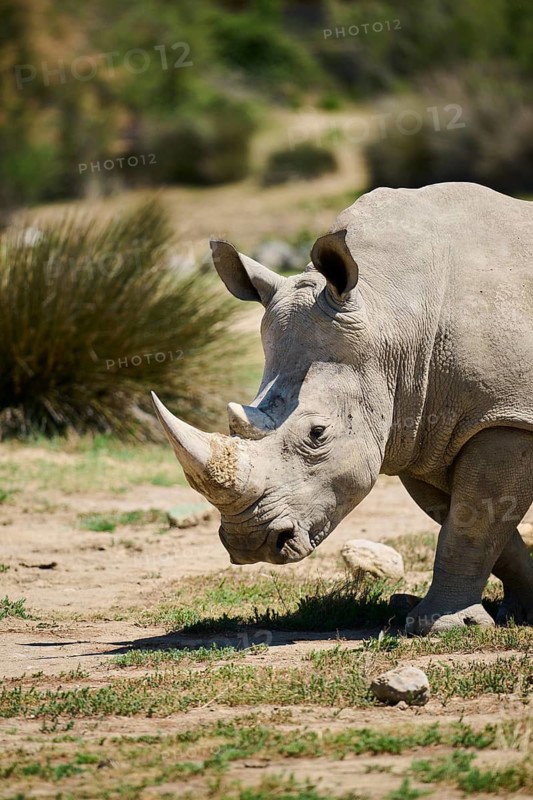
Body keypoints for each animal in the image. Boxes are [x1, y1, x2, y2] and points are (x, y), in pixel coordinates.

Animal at [152, 182, 533, 635]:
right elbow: (475, 523)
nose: (250, 544)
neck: (392, 314)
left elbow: (471, 524)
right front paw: (521, 610)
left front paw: (441, 626)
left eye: (317, 434)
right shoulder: (425, 428)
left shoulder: (506, 416)